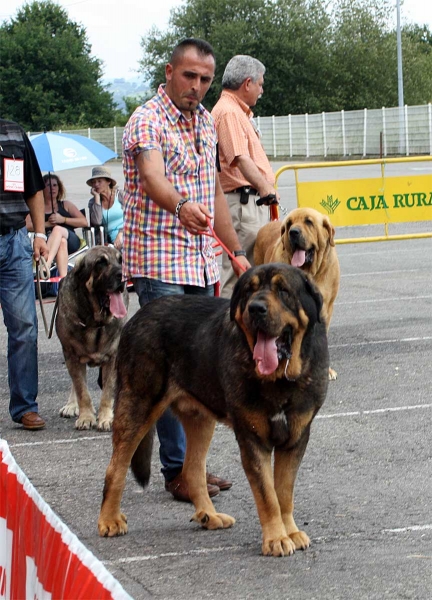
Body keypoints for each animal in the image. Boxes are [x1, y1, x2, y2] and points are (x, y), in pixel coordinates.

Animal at [55, 245, 128, 432]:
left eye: (121, 260)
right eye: (100, 263)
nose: (122, 276)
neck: (94, 321)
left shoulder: (113, 357)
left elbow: (107, 392)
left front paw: (106, 418)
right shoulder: (71, 355)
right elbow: (82, 390)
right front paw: (86, 417)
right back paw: (71, 405)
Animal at [97, 266, 328, 556]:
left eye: (283, 290)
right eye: (249, 290)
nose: (256, 308)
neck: (279, 379)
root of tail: (138, 316)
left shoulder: (296, 438)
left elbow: (283, 493)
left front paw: (291, 532)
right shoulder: (252, 440)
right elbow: (268, 496)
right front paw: (276, 538)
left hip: (200, 420)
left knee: (192, 470)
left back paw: (209, 515)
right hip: (138, 406)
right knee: (115, 468)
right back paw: (109, 520)